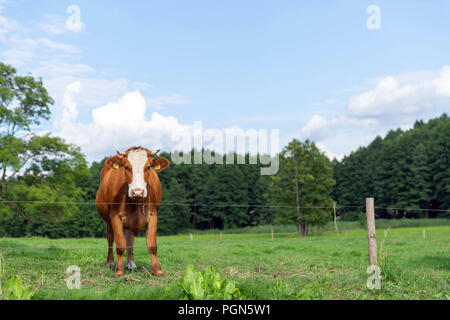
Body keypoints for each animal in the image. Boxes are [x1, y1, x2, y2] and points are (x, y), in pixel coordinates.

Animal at [96, 146, 170, 276]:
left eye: (148, 167)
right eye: (126, 167)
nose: (137, 192)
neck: (136, 203)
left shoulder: (153, 214)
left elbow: (152, 245)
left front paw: (158, 270)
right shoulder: (115, 216)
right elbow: (120, 245)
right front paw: (119, 272)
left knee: (130, 239)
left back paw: (131, 263)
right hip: (108, 219)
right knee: (110, 237)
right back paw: (110, 263)